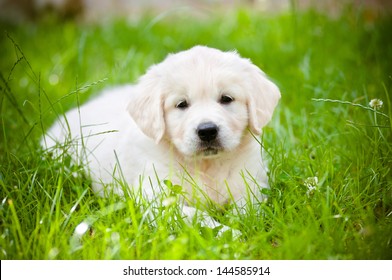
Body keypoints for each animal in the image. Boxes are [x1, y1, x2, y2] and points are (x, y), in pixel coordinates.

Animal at [43, 46, 280, 234]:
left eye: (226, 99)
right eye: (182, 104)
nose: (207, 131)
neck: (206, 165)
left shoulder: (252, 183)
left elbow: (247, 209)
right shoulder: (155, 195)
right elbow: (195, 215)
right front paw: (227, 233)